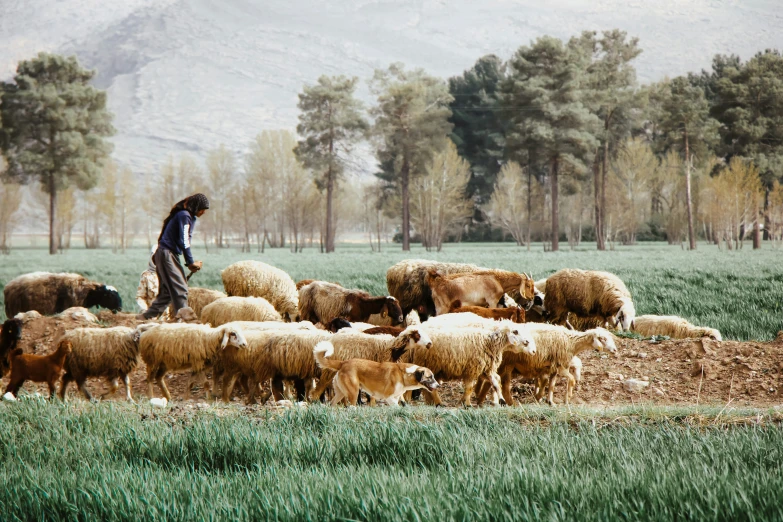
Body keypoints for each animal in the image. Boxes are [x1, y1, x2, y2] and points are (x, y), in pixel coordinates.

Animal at [404, 320, 540, 406]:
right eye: (516, 332)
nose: (534, 351)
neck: (488, 342)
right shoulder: (472, 368)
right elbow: (469, 388)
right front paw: (467, 403)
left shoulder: (487, 368)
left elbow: (496, 383)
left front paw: (501, 400)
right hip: (426, 363)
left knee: (427, 388)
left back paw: (433, 403)